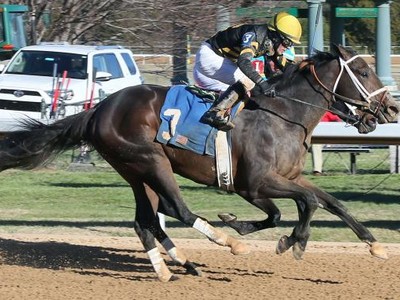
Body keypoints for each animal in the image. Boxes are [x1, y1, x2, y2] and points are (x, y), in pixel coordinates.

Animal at [0, 44, 398, 282]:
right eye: (363, 72)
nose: (390, 109)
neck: (283, 114)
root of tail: (98, 108)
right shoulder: (255, 184)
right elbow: (301, 205)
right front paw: (288, 241)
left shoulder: (289, 177)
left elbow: (329, 202)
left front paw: (375, 245)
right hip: (150, 161)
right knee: (177, 208)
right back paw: (223, 243)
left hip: (135, 172)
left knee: (146, 221)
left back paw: (174, 267)